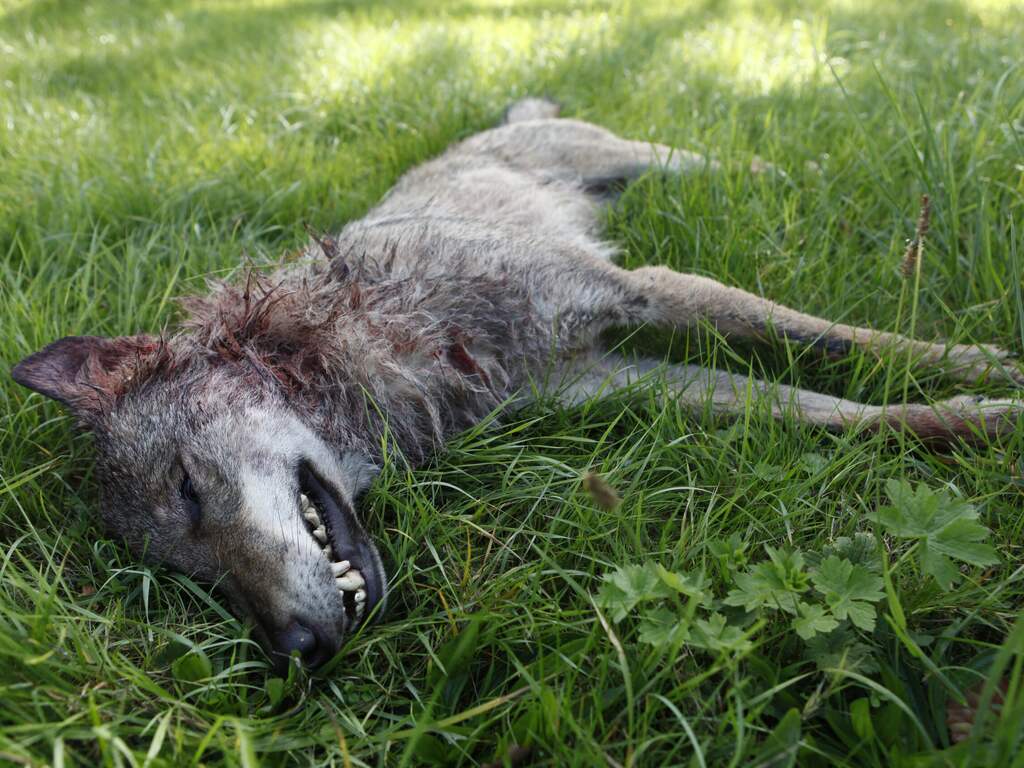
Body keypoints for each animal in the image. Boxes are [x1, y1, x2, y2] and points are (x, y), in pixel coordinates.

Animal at [12, 97, 1023, 671]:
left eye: (187, 490)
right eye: (190, 577)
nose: (296, 654)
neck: (384, 342)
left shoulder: (643, 290)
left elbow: (848, 341)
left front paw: (990, 370)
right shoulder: (623, 377)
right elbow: (847, 413)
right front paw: (973, 420)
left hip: (629, 156)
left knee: (706, 156)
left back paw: (792, 169)